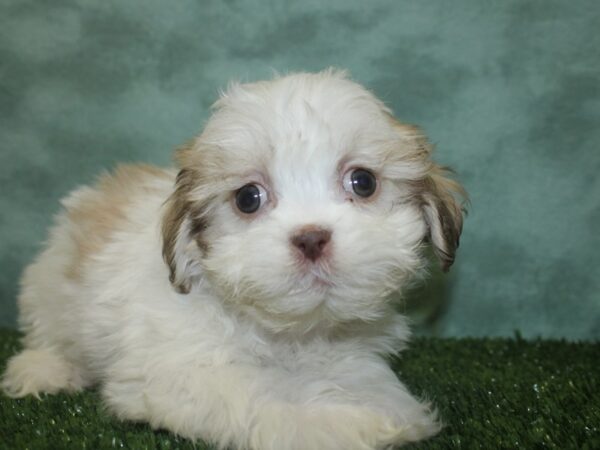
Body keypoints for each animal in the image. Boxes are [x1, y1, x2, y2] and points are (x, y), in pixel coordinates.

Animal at [2, 70, 466, 450]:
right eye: (248, 198)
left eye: (363, 182)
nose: (311, 238)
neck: (292, 334)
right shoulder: (178, 372)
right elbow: (259, 396)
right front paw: (333, 422)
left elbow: (360, 379)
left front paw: (381, 407)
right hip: (48, 289)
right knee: (50, 334)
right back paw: (45, 369)